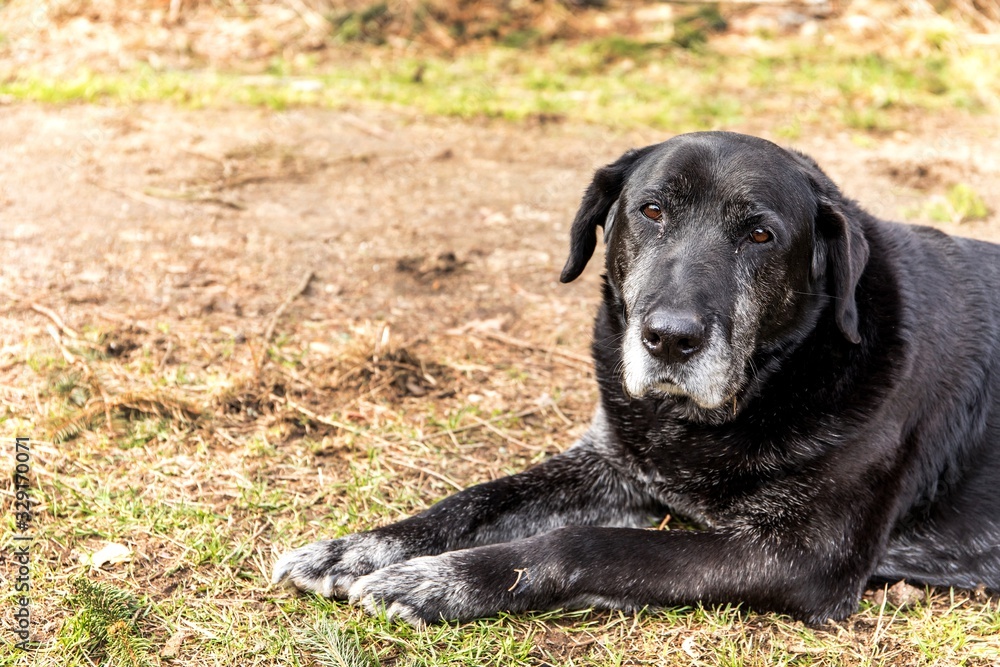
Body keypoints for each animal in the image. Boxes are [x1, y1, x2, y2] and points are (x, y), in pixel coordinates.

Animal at [272, 132, 1000, 628]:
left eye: (761, 235)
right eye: (651, 210)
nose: (670, 339)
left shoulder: (802, 556)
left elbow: (591, 543)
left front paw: (437, 582)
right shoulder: (612, 465)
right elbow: (478, 498)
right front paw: (359, 548)